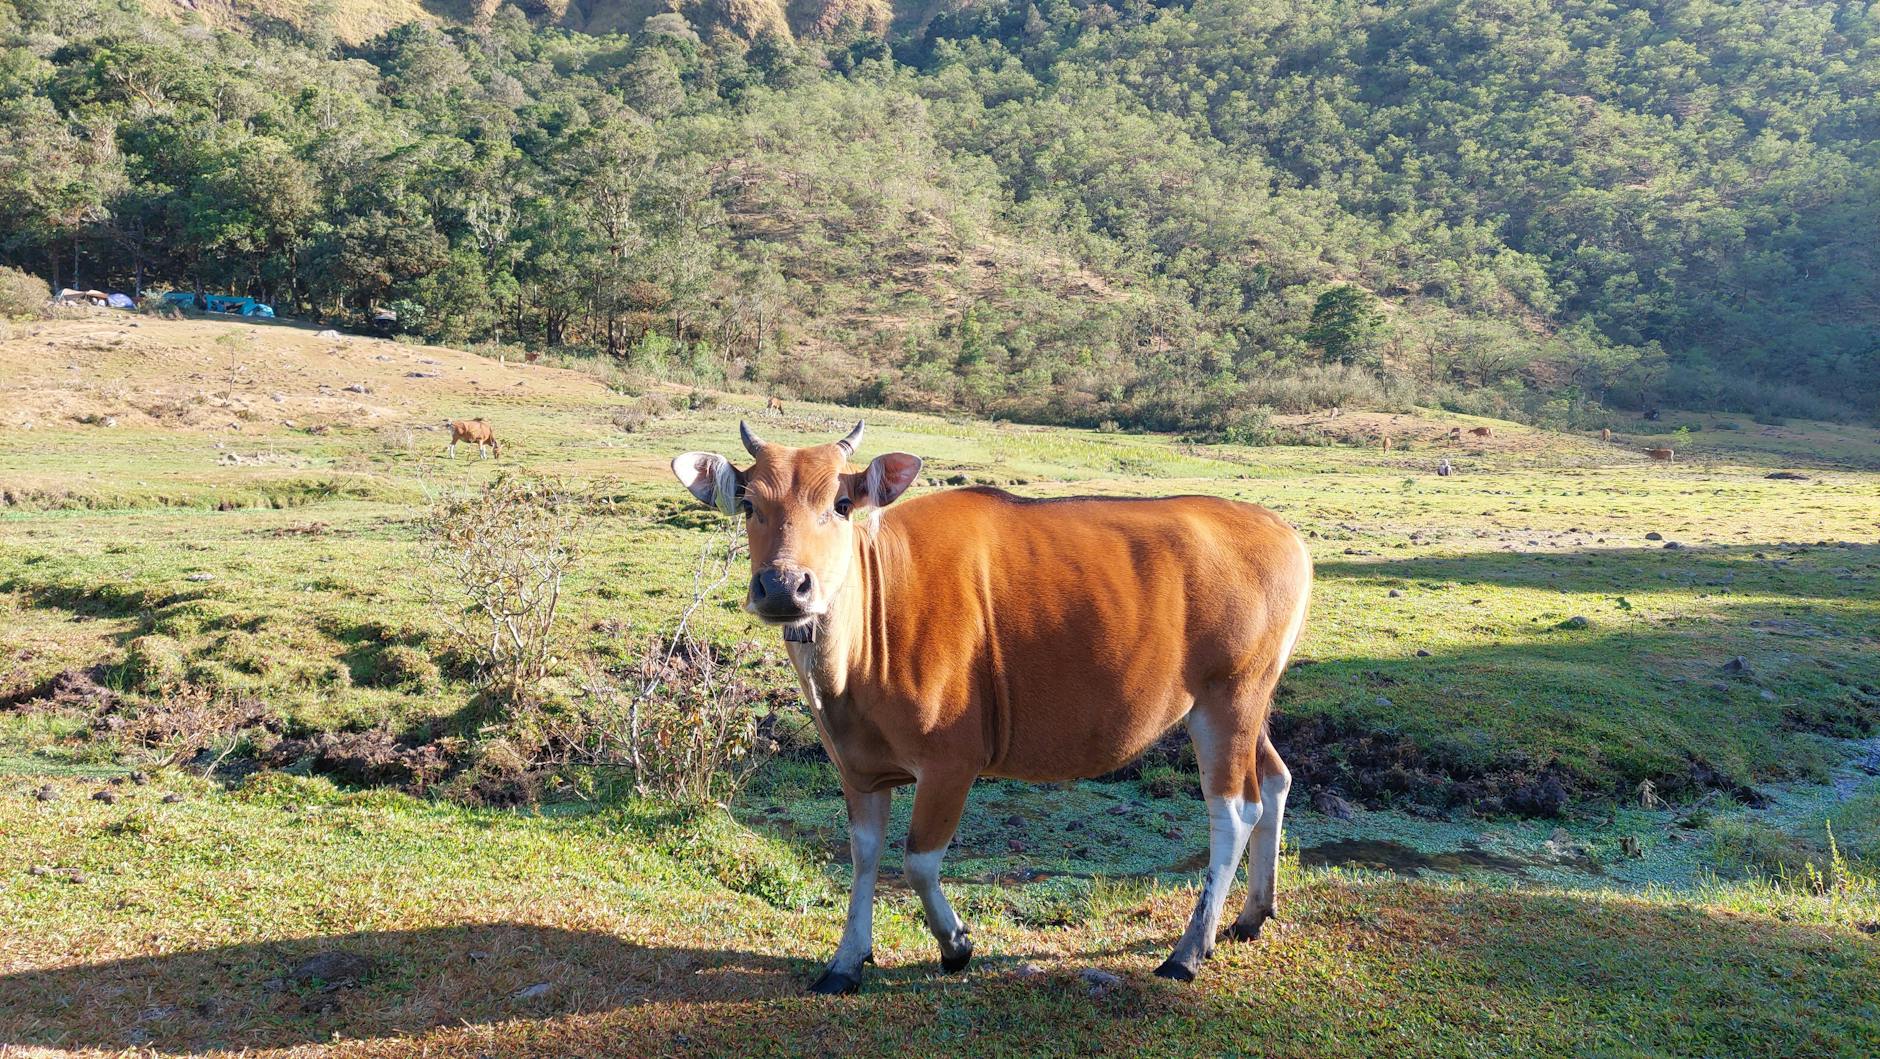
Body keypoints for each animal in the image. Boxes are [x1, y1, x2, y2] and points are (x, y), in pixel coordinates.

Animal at [670, 423, 1313, 992]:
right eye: (749, 503)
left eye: (842, 503)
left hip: (1227, 700)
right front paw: (846, 962)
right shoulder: (859, 770)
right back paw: (1253, 914)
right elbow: (863, 858)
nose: (784, 587)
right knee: (1277, 780)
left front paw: (956, 944)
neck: (873, 626)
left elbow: (918, 861)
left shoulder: (951, 763)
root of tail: (1282, 531)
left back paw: (1188, 951)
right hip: (1249, 704)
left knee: (1234, 812)